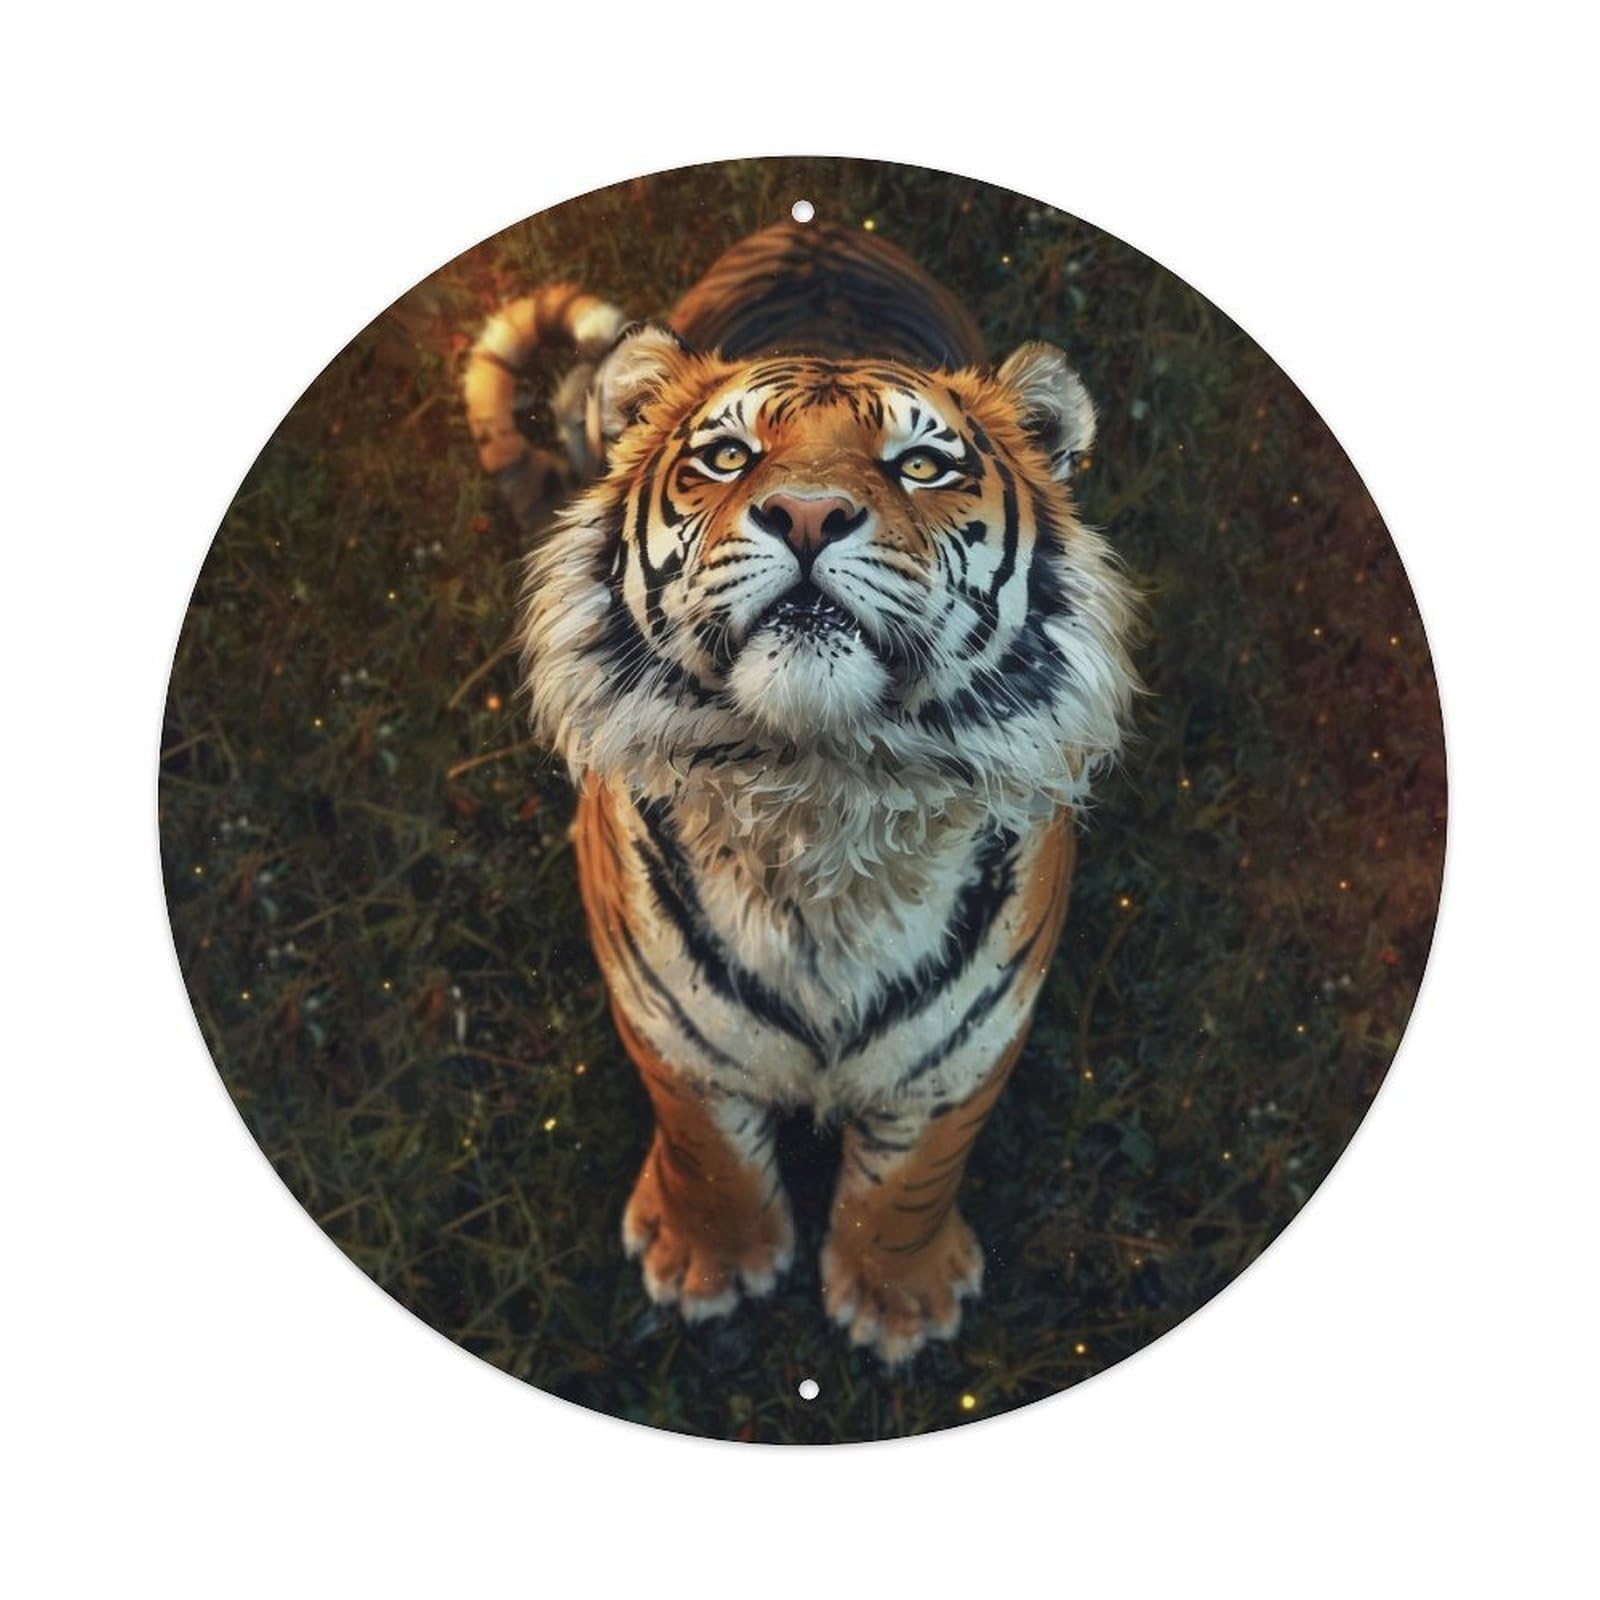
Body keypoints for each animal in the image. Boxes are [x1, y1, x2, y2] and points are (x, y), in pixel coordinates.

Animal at [462, 218, 1139, 1364]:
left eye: (921, 465)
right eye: (729, 457)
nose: (810, 513)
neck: (819, 786)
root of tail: (802, 224)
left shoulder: (974, 1035)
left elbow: (910, 1177)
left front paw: (897, 1302)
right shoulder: (666, 1019)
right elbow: (709, 1147)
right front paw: (708, 1264)